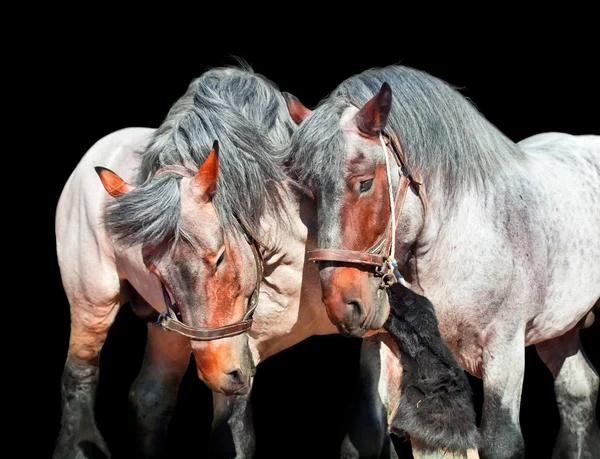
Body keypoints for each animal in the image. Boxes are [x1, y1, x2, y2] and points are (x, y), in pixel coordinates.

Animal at [56, 65, 478, 459]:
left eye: (219, 257)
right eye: (154, 270)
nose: (221, 375)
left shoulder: (365, 297)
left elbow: (412, 331)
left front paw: (443, 422)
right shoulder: (243, 346)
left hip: (172, 334)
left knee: (150, 398)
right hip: (96, 304)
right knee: (81, 377)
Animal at [282, 65, 600, 459]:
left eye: (365, 182)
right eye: (307, 191)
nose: (344, 304)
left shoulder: (505, 351)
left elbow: (500, 441)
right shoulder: (384, 345)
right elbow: (366, 433)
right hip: (559, 331)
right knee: (578, 390)